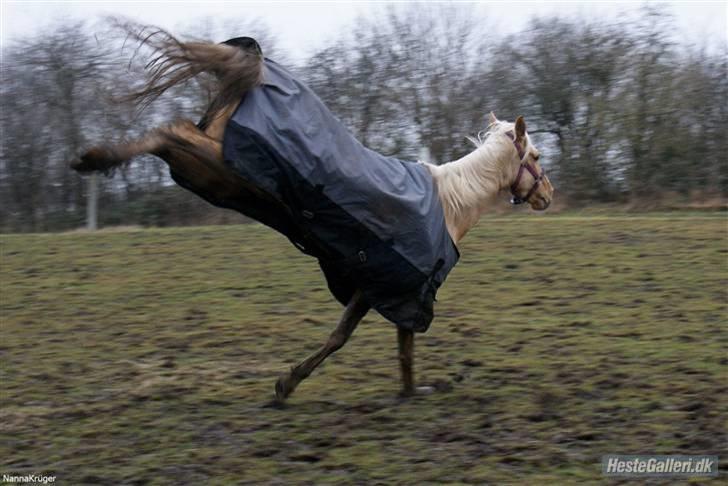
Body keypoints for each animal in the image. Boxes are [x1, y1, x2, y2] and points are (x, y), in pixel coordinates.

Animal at [72, 30, 552, 402]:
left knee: (170, 136)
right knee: (172, 130)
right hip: (219, 163)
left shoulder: (380, 287)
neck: (448, 205)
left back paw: (94, 158)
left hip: (211, 176)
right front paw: (287, 384)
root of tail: (257, 72)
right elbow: (350, 338)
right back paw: (92, 158)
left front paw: (409, 391)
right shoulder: (400, 287)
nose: (547, 195)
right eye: (535, 156)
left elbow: (394, 345)